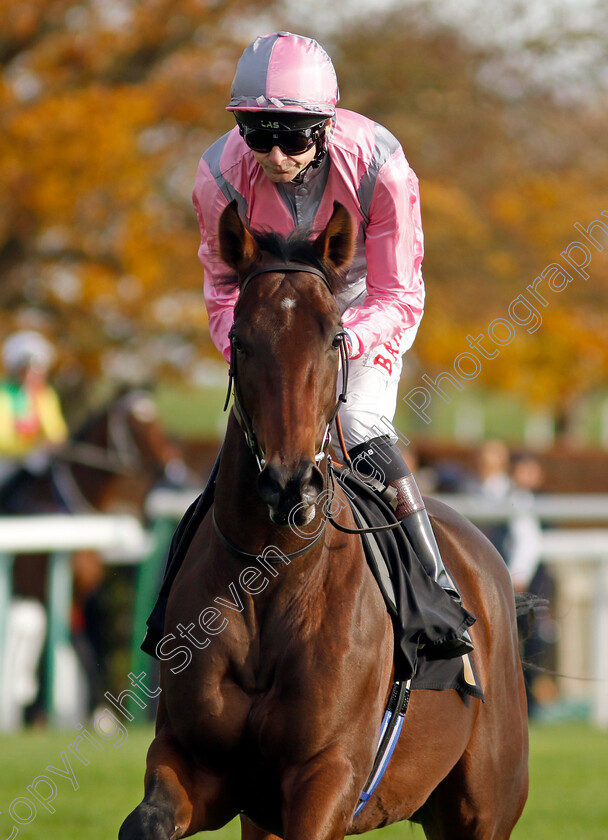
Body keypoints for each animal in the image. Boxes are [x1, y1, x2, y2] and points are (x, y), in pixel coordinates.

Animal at [121, 203, 528, 840]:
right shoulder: (194, 763)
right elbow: (148, 820)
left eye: (334, 336)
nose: (291, 484)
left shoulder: (327, 773)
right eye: (240, 339)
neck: (271, 576)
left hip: (482, 808)